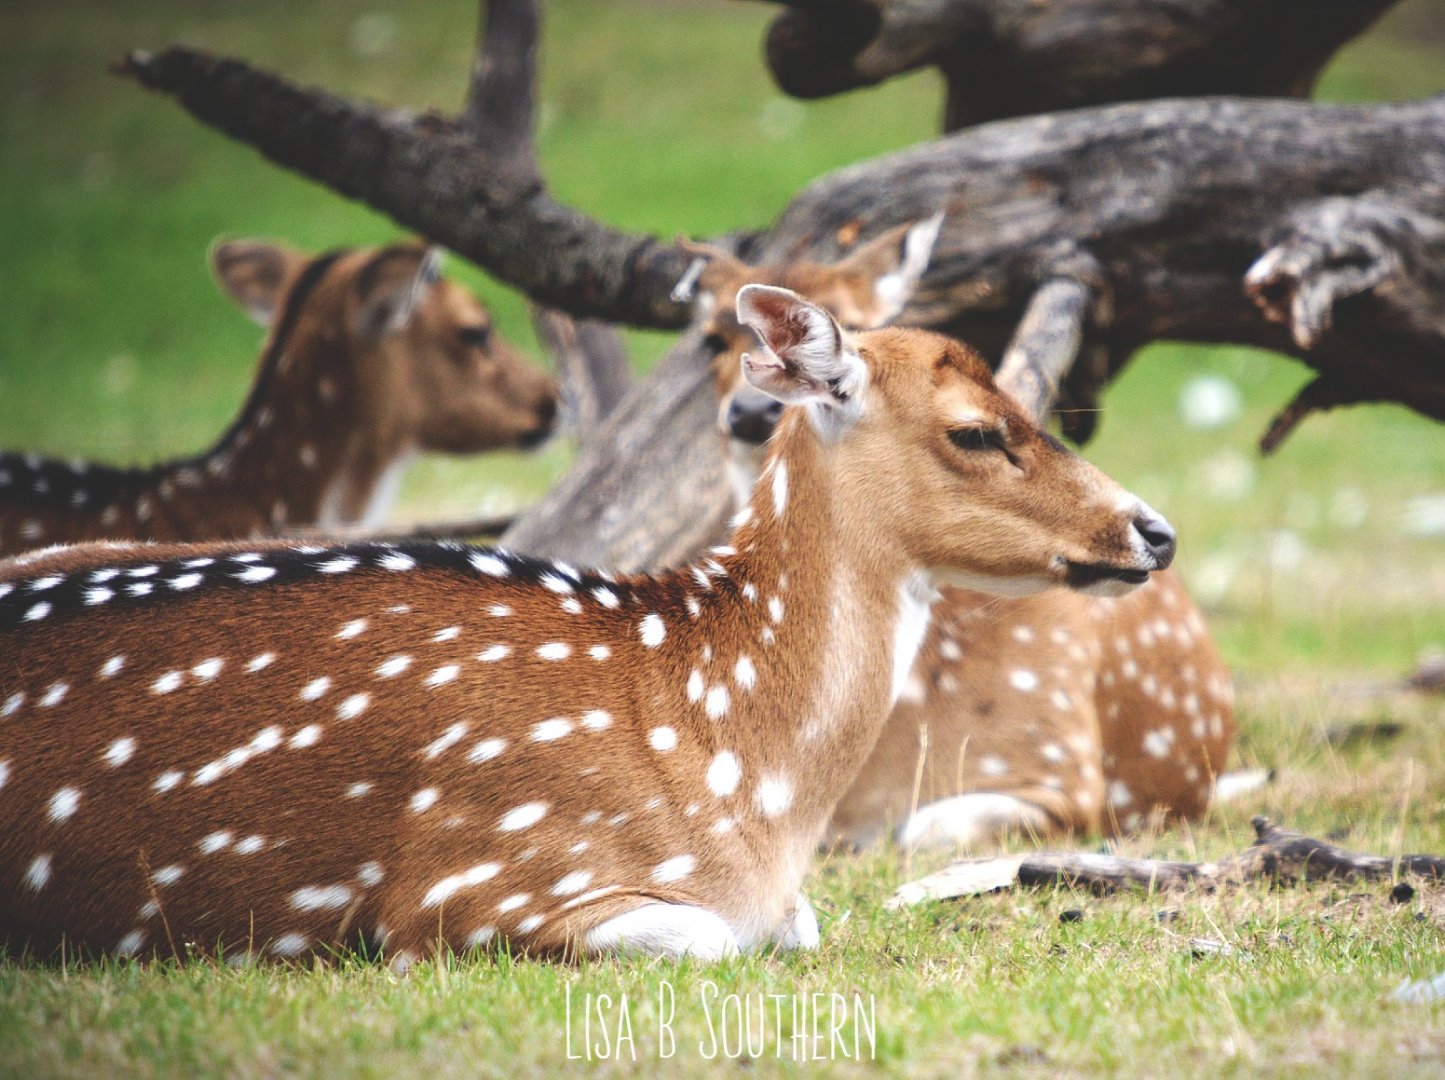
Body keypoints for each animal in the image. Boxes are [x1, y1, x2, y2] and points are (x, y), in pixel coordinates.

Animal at [0, 286, 1175, 965]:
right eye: (976, 431)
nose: (1153, 530)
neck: (739, 783)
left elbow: (794, 923)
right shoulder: (477, 888)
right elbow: (705, 935)